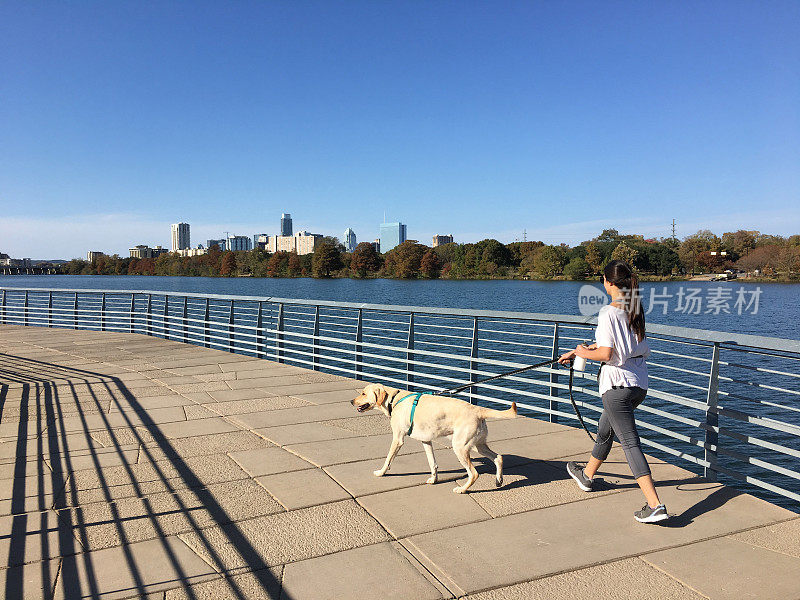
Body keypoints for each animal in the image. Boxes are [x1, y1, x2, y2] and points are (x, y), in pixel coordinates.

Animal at [352, 384, 516, 492]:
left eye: (363, 393)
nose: (351, 401)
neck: (394, 399)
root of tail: (477, 409)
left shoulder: (398, 439)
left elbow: (388, 460)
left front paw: (381, 473)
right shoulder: (426, 440)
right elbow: (432, 463)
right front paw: (434, 479)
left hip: (460, 447)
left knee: (474, 473)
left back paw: (462, 489)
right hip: (477, 445)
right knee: (498, 457)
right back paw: (499, 480)